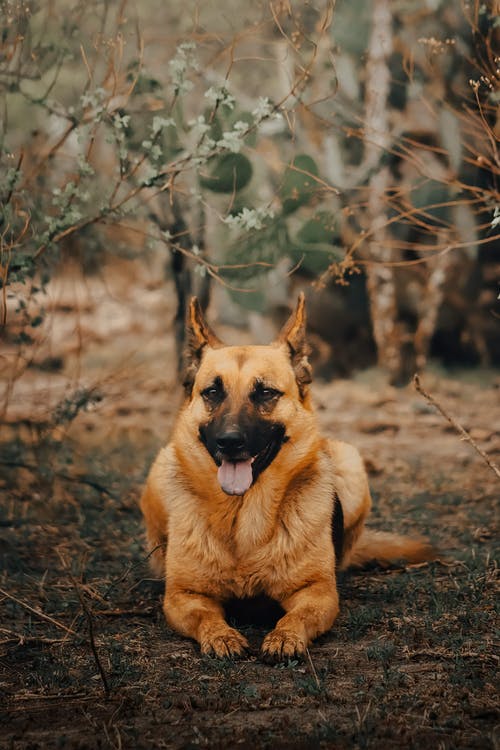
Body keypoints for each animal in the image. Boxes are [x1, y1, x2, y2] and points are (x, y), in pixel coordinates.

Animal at [142, 296, 434, 660]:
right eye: (212, 392)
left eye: (266, 392)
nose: (229, 441)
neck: (243, 519)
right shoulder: (183, 596)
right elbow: (205, 616)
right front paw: (222, 635)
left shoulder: (318, 593)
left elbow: (298, 616)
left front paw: (285, 636)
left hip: (351, 464)